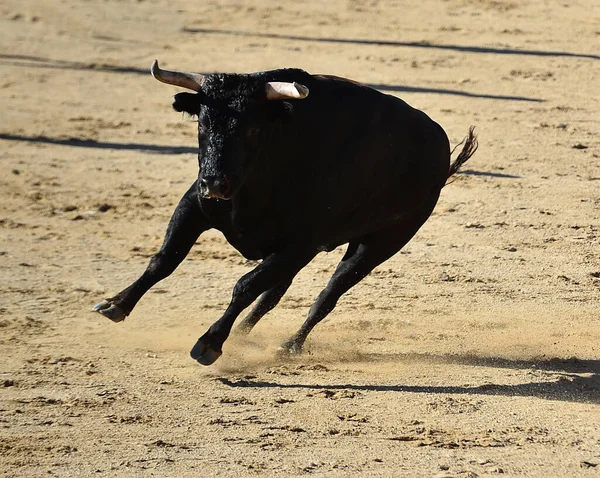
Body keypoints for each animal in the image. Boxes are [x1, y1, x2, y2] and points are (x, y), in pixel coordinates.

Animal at [94, 60, 478, 366]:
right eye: (202, 123)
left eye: (252, 128)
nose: (215, 183)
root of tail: (440, 147)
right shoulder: (194, 206)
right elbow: (163, 260)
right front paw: (116, 305)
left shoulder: (300, 244)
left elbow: (245, 286)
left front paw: (209, 344)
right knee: (274, 294)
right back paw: (243, 337)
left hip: (380, 244)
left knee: (328, 294)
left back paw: (288, 345)